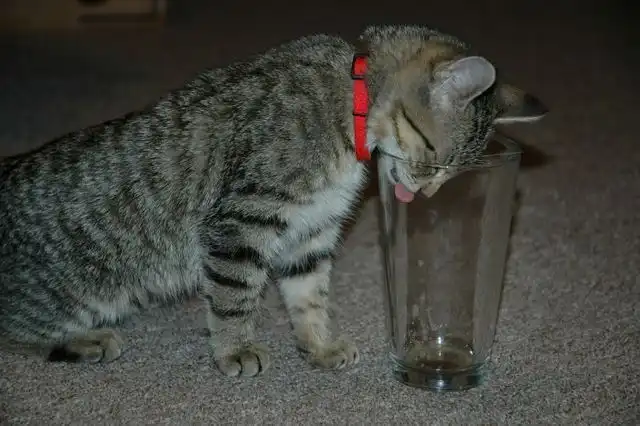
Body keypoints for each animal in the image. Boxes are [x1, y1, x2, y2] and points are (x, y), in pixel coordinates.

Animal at [0, 25, 547, 378]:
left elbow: (309, 294)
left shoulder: (313, 229)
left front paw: (318, 345)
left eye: (449, 172)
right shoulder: (242, 219)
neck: (350, 105)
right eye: (435, 160)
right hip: (78, 295)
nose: (423, 192)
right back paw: (84, 341)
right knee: (15, 332)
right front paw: (235, 350)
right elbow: (234, 296)